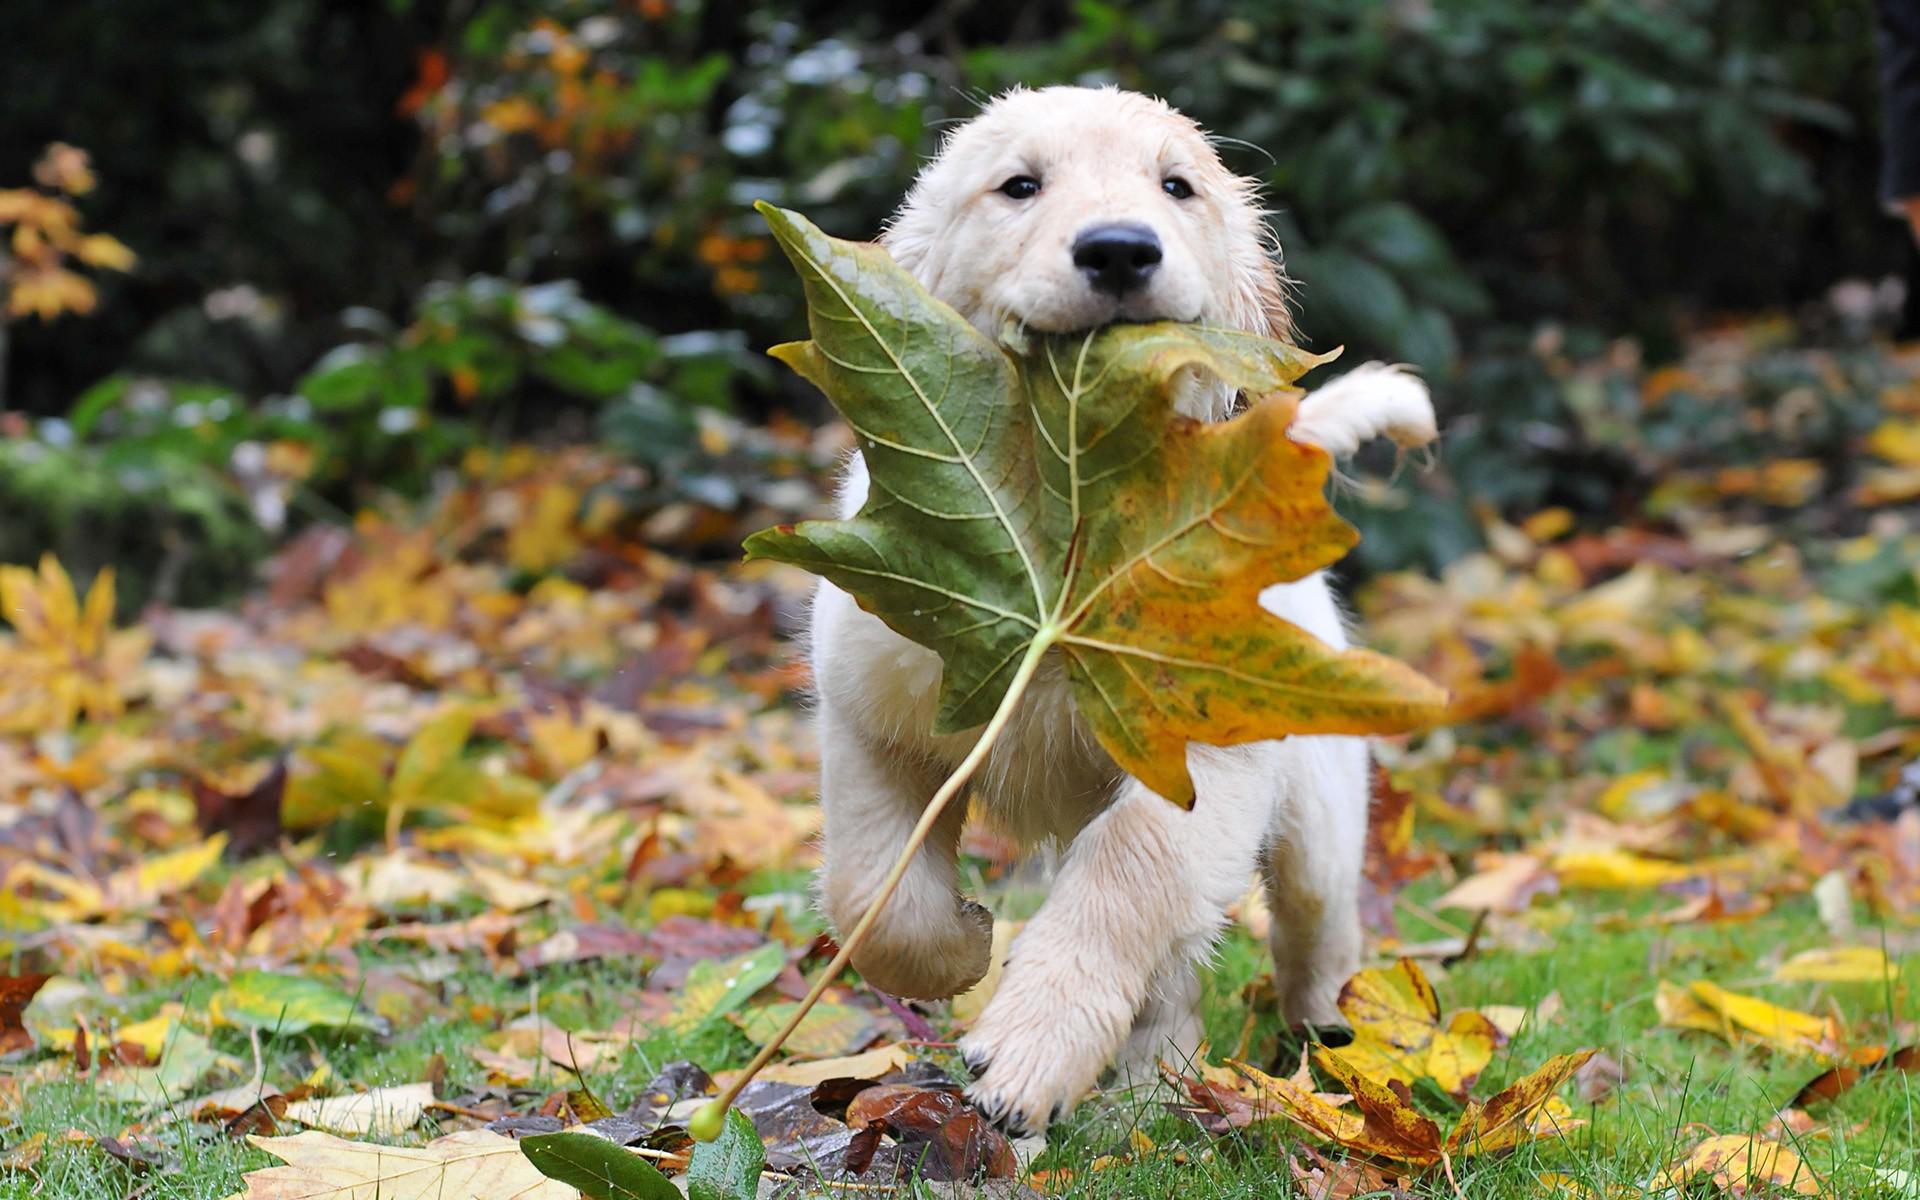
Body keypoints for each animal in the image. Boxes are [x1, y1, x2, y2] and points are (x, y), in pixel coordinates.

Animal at [802, 86, 1436, 1128]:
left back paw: (1324, 1041)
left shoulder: (1203, 759)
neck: (1068, 518)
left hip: (1318, 808)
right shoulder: (873, 716)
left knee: (1312, 928)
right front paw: (961, 948)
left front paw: (1029, 1047)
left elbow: (1129, 874)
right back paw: (1153, 1081)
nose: (1119, 250)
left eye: (1176, 186)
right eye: (1020, 185)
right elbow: (874, 892)